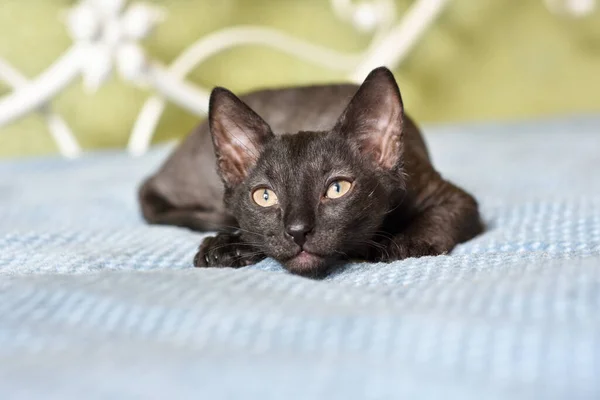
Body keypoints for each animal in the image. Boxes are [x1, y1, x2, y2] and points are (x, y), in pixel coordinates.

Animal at [137, 67, 482, 276]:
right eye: (265, 196)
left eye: (337, 189)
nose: (298, 230)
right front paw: (225, 247)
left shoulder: (453, 198)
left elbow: (438, 217)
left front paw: (405, 243)